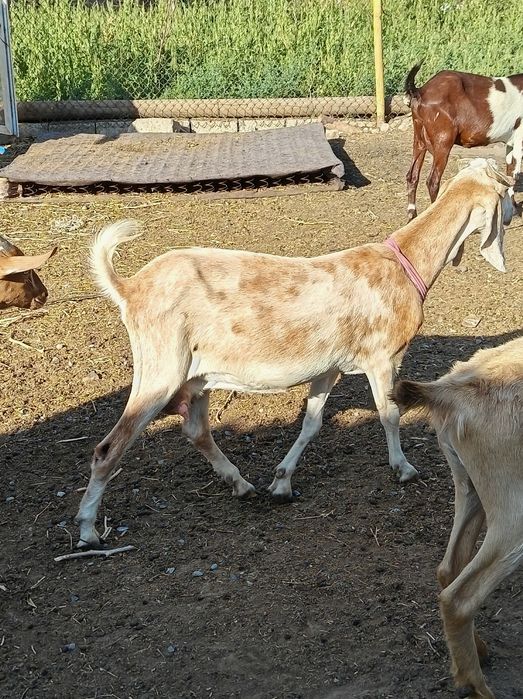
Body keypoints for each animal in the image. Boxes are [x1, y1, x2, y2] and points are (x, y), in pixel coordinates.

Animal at [75, 158, 513, 549]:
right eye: (507, 191)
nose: (516, 210)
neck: (404, 264)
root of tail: (130, 287)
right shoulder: (382, 357)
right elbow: (389, 414)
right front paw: (403, 469)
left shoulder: (328, 367)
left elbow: (312, 423)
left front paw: (282, 482)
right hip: (160, 368)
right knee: (108, 449)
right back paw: (87, 530)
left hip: (195, 377)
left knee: (197, 431)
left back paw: (241, 484)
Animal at [391, 337, 523, 699]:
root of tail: (449, 391)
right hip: (513, 512)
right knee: (458, 598)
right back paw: (480, 688)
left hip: (469, 486)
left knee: (449, 568)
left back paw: (478, 652)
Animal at [405, 63, 523, 220]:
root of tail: (421, 91)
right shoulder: (520, 138)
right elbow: (515, 174)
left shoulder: (511, 142)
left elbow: (509, 171)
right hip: (443, 140)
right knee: (433, 180)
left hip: (419, 138)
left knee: (412, 175)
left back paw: (412, 215)